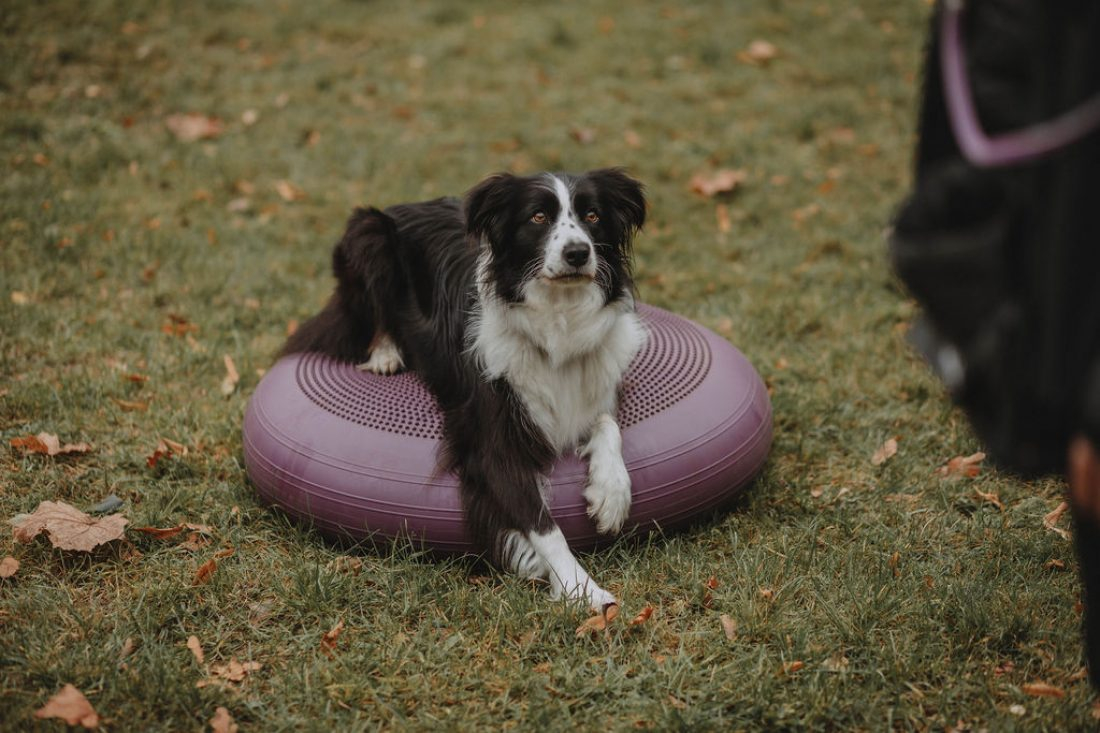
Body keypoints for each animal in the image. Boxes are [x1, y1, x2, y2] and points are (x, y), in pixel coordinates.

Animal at [279, 168, 646, 607]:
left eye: (592, 216)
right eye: (538, 217)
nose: (577, 253)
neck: (557, 320)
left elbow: (607, 424)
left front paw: (611, 495)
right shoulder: (491, 445)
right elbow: (543, 526)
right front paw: (585, 591)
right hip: (368, 234)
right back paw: (386, 352)